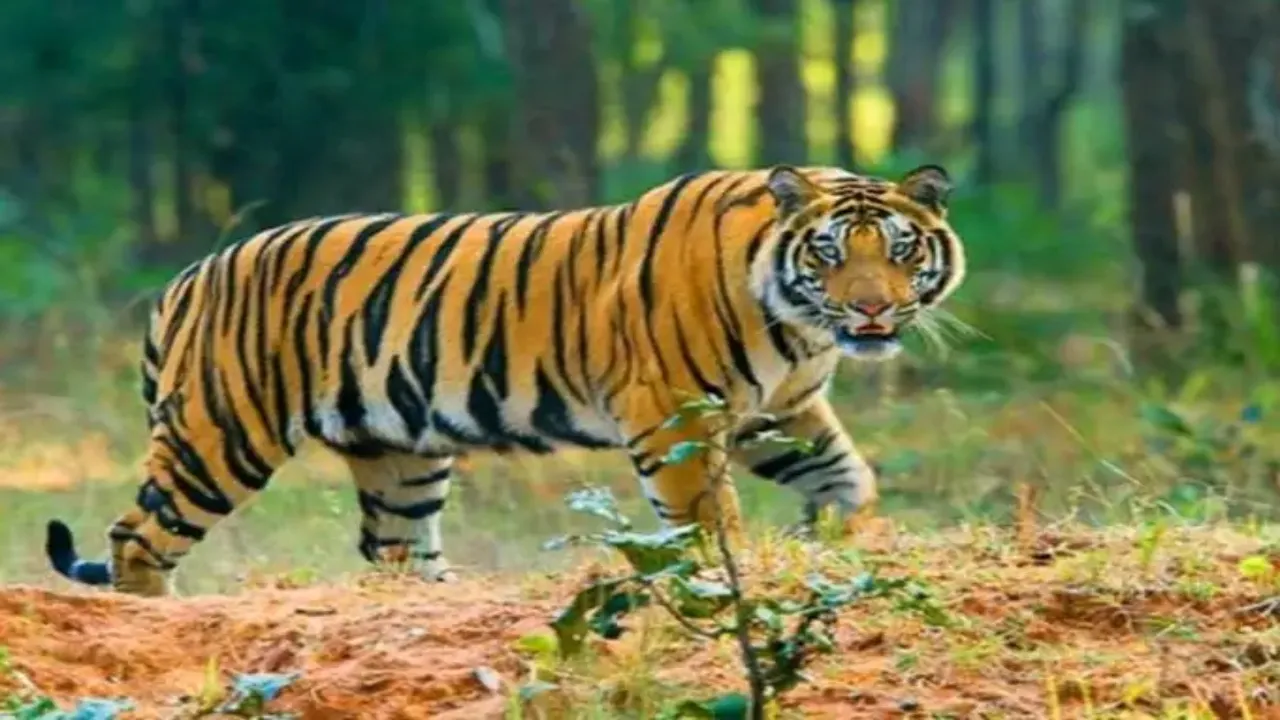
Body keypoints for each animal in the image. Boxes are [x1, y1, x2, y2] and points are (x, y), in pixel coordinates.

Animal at [43, 163, 967, 597]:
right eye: (830, 253)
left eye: (899, 249)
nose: (873, 310)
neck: (798, 323)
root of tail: (189, 276)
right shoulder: (674, 413)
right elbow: (710, 520)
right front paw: (737, 576)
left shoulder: (780, 412)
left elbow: (849, 478)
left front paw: (832, 537)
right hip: (222, 435)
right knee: (136, 536)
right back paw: (158, 617)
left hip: (400, 454)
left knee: (393, 549)